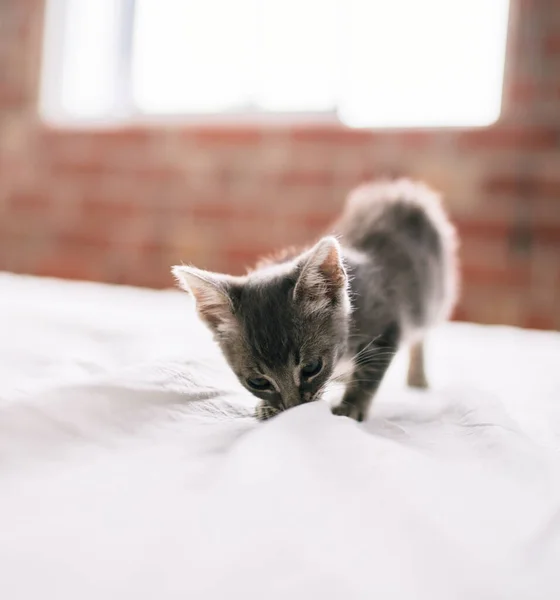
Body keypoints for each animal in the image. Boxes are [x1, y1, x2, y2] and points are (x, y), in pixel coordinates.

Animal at [173, 178, 458, 422]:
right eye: (258, 382)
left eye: (311, 367)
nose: (293, 408)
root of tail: (399, 190)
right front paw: (266, 406)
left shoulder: (387, 319)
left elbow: (369, 370)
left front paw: (351, 406)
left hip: (434, 298)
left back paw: (417, 376)